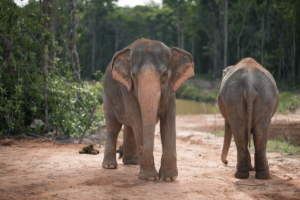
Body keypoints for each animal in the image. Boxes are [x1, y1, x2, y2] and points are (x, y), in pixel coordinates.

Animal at [101, 38, 195, 181]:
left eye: (164, 74)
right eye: (133, 75)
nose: (153, 176)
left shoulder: (171, 90)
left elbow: (168, 120)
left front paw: (168, 178)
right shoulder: (127, 88)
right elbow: (138, 119)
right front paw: (150, 177)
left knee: (129, 126)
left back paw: (132, 162)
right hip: (107, 96)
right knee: (113, 125)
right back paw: (110, 166)